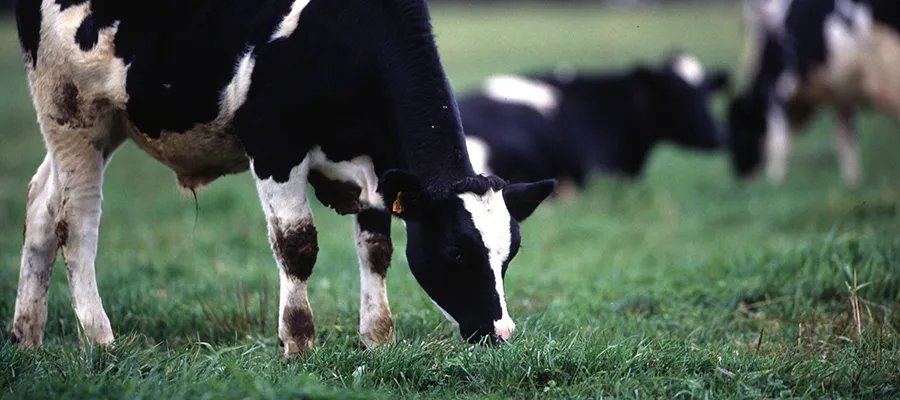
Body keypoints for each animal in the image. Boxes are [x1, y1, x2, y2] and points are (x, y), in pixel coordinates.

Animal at [10, 0, 556, 356]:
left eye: (510, 254)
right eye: (455, 252)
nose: (501, 333)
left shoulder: (377, 166)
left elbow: (377, 250)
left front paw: (378, 339)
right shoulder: (273, 142)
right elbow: (297, 245)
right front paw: (298, 341)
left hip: (106, 125)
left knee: (41, 205)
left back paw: (26, 337)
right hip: (70, 111)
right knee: (76, 224)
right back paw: (99, 339)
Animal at [729, 0, 900, 185]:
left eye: (737, 130)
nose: (740, 175)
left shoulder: (777, 89)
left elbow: (778, 141)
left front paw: (775, 181)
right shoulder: (843, 97)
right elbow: (846, 141)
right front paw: (852, 182)